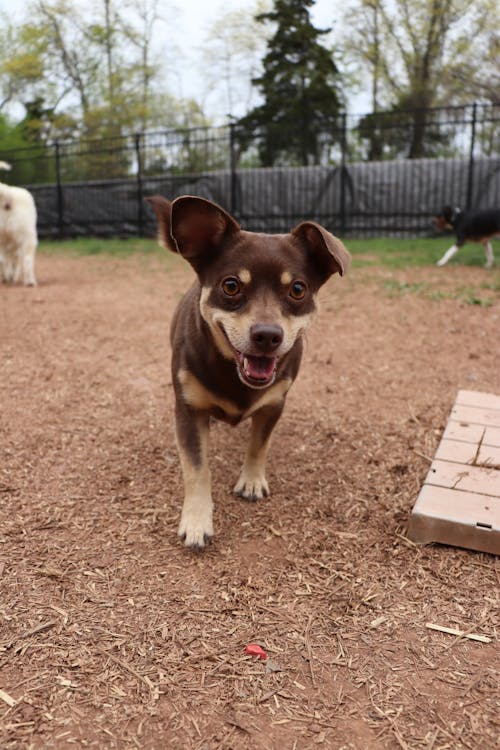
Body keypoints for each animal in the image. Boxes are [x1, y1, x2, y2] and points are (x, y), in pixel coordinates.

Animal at [146, 197, 350, 548]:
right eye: (231, 285)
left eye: (298, 289)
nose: (267, 335)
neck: (233, 374)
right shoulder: (188, 409)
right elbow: (197, 469)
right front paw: (197, 520)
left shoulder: (274, 404)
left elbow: (259, 443)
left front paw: (252, 480)